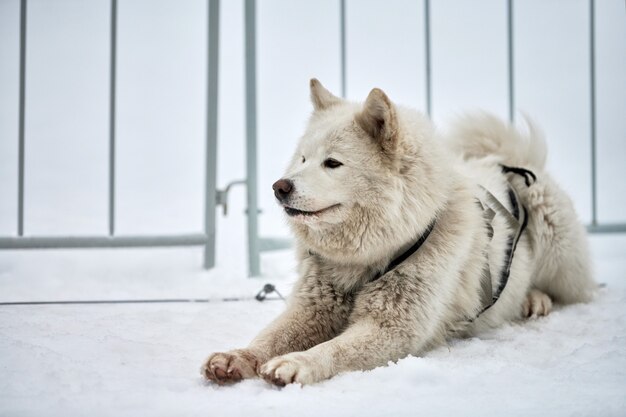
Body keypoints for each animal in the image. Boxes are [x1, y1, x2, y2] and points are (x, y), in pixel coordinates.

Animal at [201, 79, 596, 386]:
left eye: (333, 163)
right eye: (302, 159)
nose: (279, 187)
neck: (365, 258)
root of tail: (507, 161)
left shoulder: (393, 327)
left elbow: (334, 348)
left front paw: (298, 362)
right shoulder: (312, 307)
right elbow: (270, 336)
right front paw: (238, 356)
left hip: (555, 238)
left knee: (575, 291)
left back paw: (536, 299)